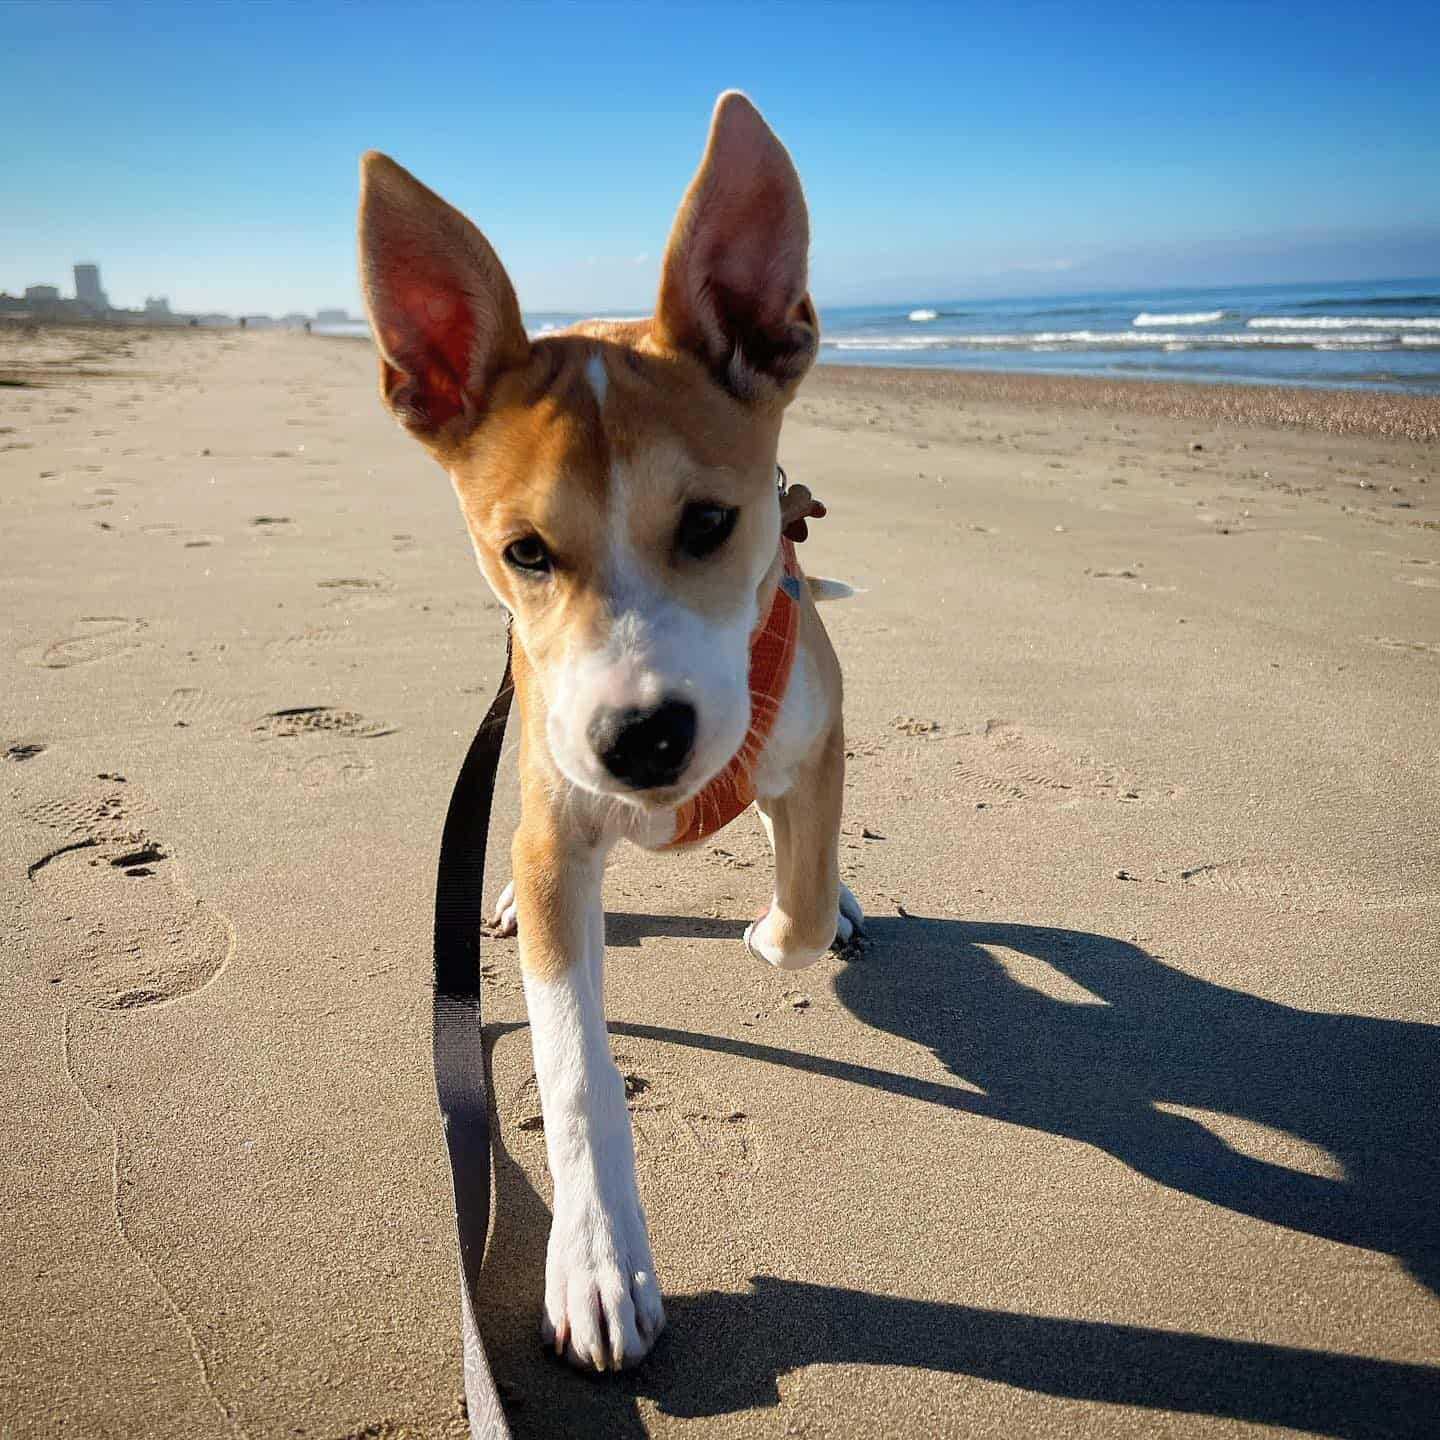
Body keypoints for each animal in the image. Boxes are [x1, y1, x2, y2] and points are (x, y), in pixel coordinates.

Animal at [357, 87, 852, 1370]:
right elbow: (574, 1065)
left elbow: (803, 893)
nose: (643, 743)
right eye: (525, 551)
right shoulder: (553, 829)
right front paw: (595, 1261)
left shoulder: (819, 729)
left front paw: (787, 925)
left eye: (713, 523)